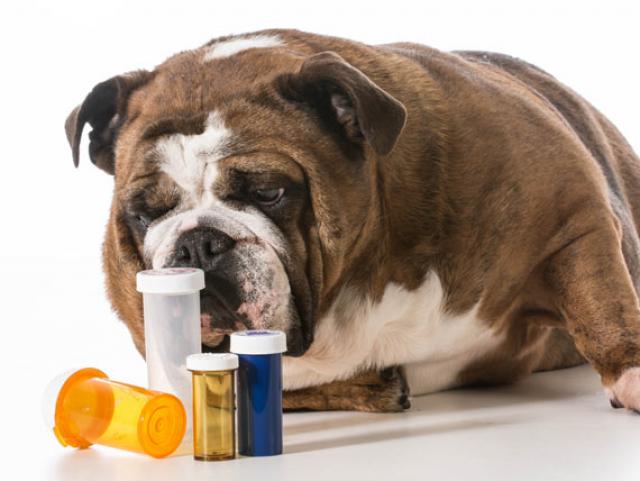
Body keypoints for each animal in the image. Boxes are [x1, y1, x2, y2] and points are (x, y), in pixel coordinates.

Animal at [65, 29, 640, 413]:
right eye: (145, 214)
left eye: (269, 192)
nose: (198, 244)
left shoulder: (574, 214)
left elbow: (601, 298)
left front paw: (631, 373)